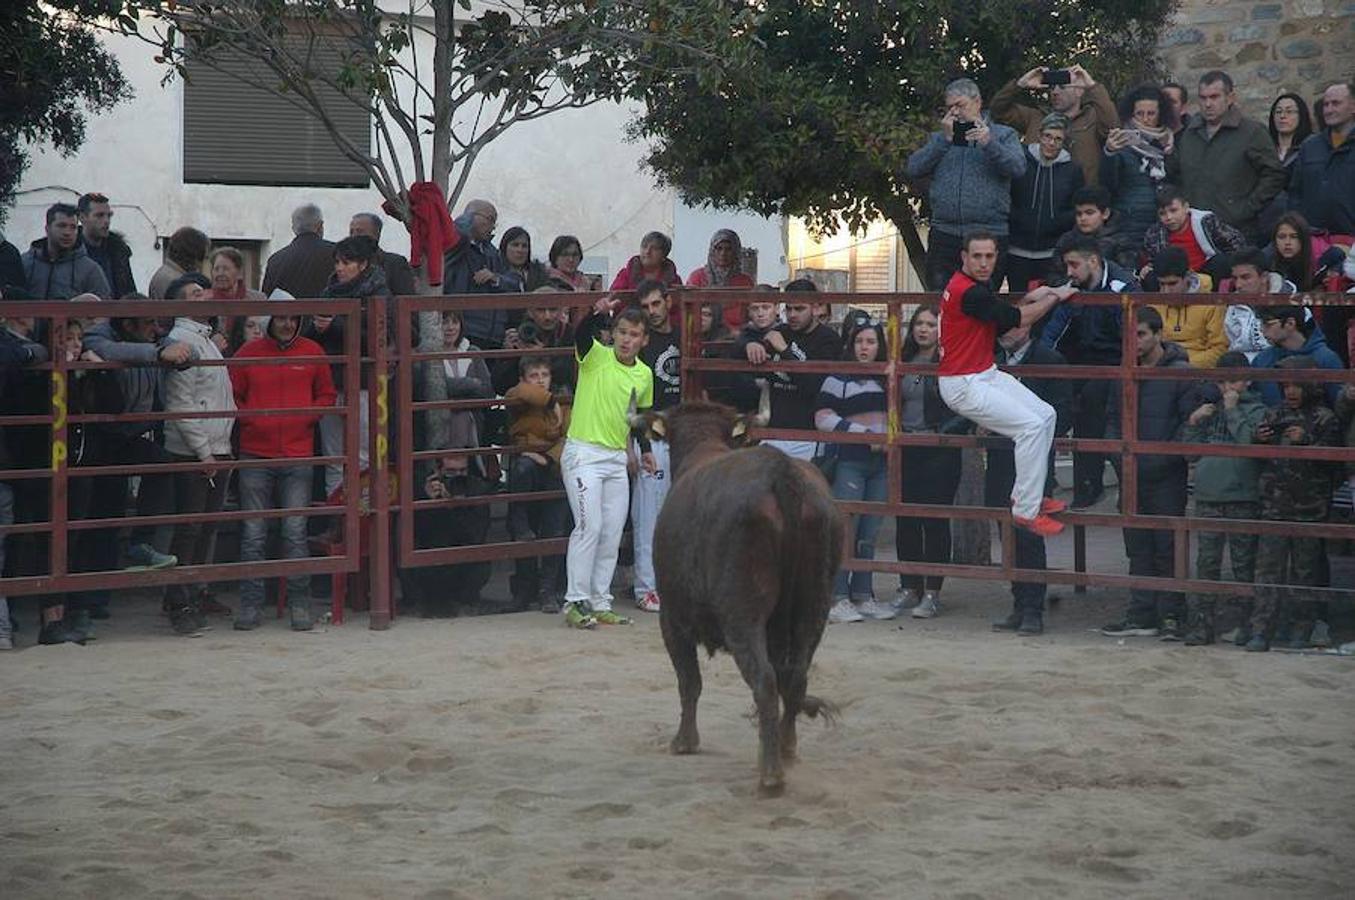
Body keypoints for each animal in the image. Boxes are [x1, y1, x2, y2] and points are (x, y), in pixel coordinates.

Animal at [628, 387, 840, 796]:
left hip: (742, 614)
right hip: (815, 607)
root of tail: (782, 474)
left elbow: (689, 681)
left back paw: (771, 774)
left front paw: (684, 741)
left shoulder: (672, 619)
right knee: (795, 677)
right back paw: (786, 750)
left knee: (765, 681)